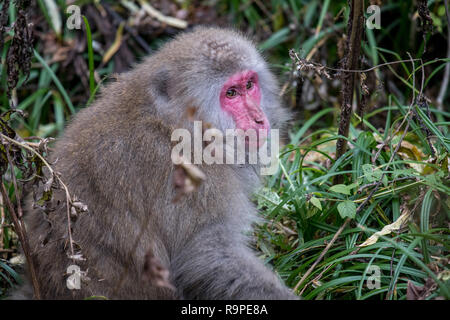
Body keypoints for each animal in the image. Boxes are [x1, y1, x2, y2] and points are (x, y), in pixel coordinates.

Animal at [12, 27, 296, 300]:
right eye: (231, 93)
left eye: (249, 84)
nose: (259, 119)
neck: (174, 124)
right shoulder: (196, 180)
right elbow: (207, 255)